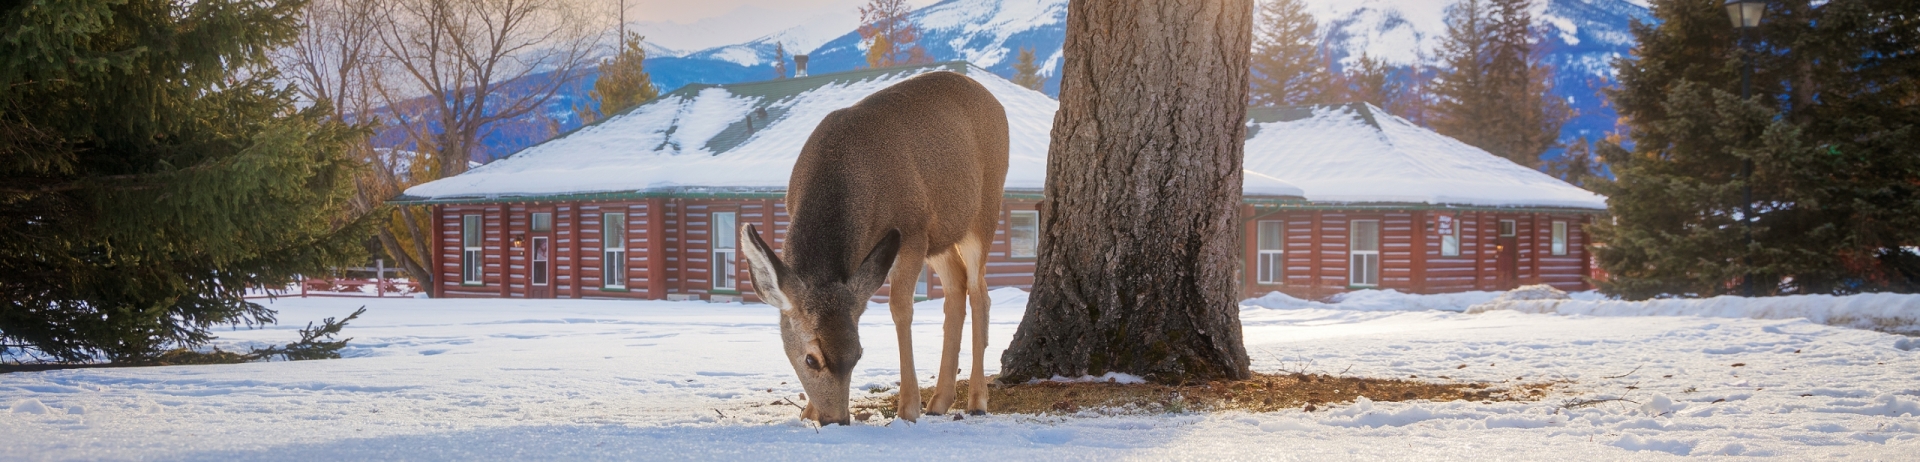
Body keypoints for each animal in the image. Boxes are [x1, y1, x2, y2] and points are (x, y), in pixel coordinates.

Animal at [739, 71, 1008, 425]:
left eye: (857, 355)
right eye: (811, 359)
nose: (837, 419)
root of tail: (994, 100)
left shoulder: (912, 232)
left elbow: (900, 309)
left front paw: (908, 409)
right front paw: (807, 413)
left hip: (983, 210)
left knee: (979, 291)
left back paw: (976, 399)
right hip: (941, 236)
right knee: (957, 285)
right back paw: (940, 401)